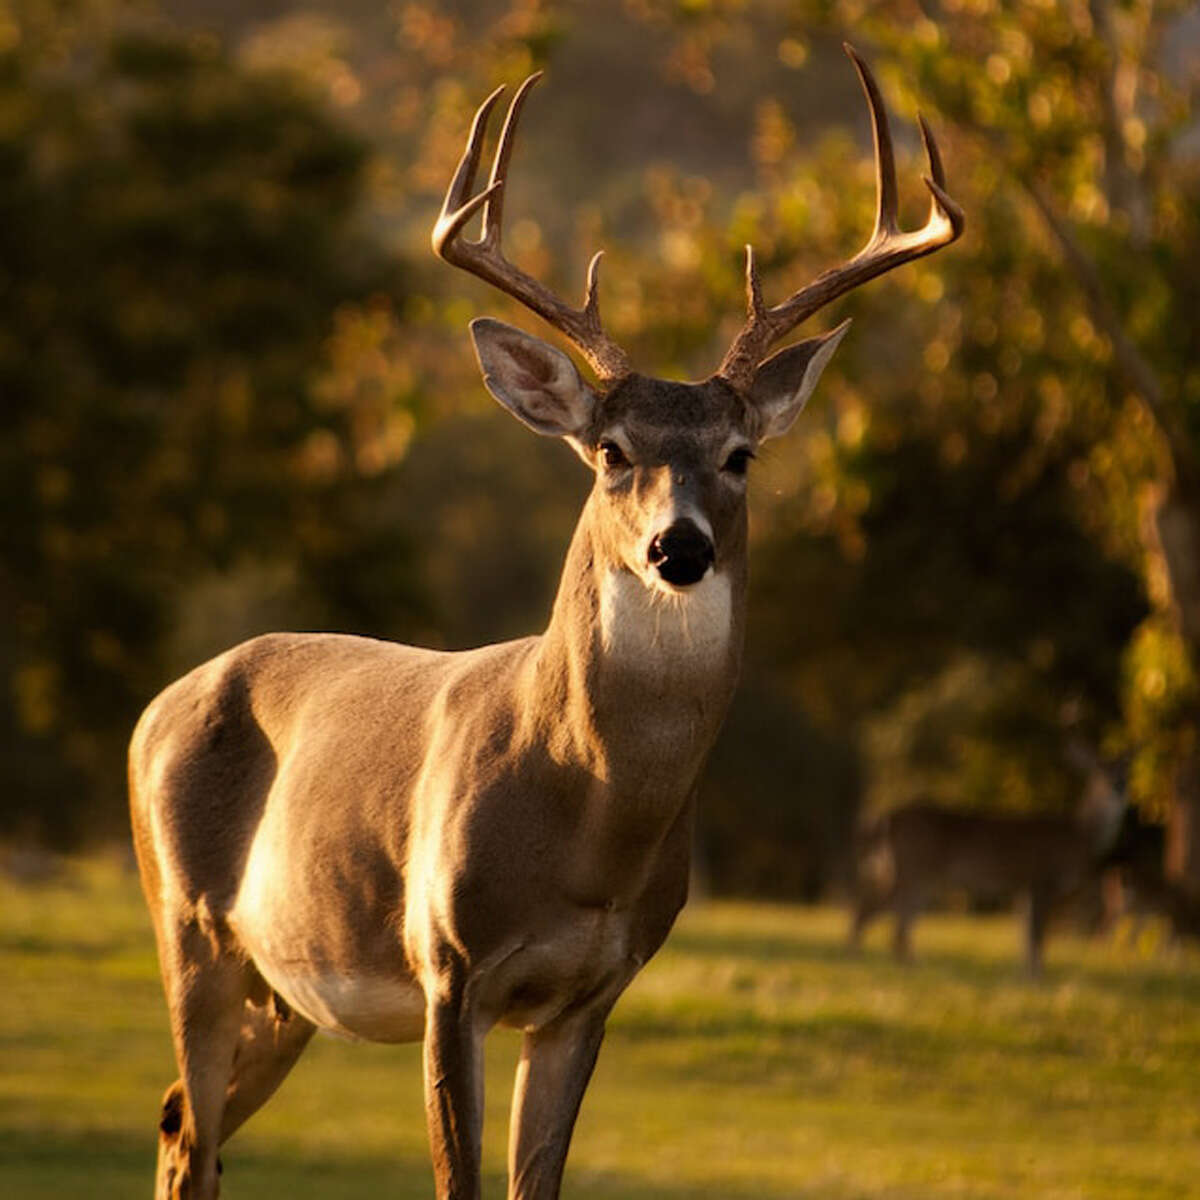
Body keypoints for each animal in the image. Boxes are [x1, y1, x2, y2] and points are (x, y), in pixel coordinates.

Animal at [126, 49, 960, 1200]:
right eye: (611, 450)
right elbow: (460, 1180)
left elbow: (539, 1181)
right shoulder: (450, 968)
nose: (679, 548)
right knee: (192, 1129)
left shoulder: (590, 996)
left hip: (284, 989)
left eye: (741, 454)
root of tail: (156, 708)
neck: (587, 820)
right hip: (190, 929)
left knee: (176, 1125)